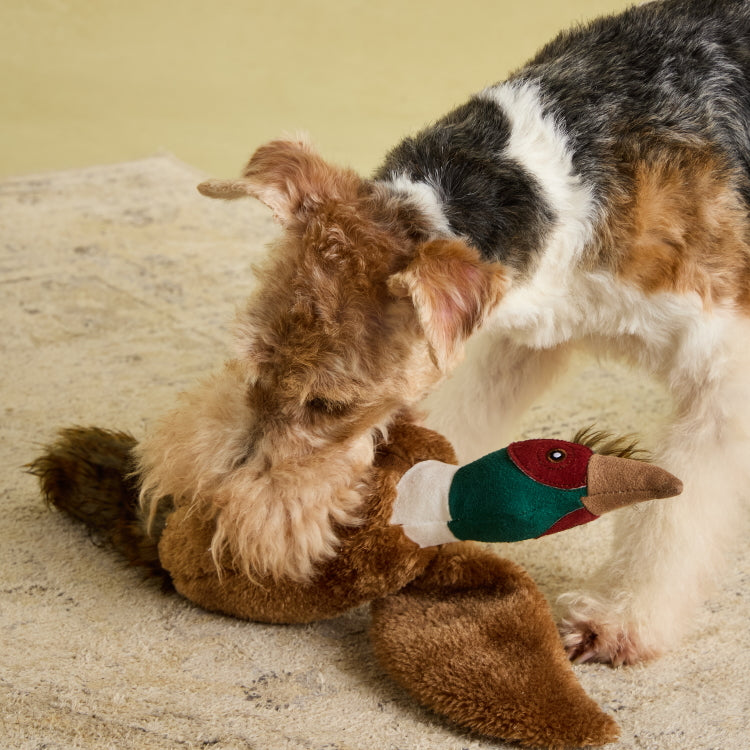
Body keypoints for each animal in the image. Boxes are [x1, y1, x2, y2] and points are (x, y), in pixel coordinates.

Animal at [125, 0, 750, 668]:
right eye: (254, 360)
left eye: (330, 405)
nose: (207, 508)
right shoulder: (521, 339)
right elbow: (457, 419)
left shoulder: (723, 378)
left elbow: (674, 513)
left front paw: (617, 622)